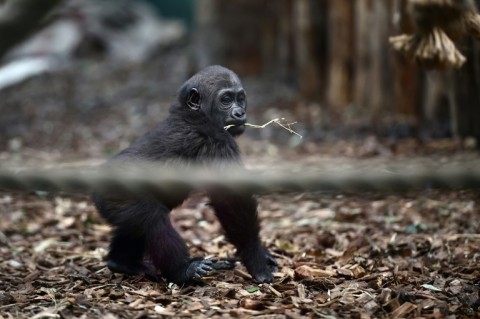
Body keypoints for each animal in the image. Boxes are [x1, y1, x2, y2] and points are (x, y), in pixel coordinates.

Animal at [92, 65, 278, 284]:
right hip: (117, 194)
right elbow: (231, 199)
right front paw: (256, 258)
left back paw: (121, 262)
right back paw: (183, 270)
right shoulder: (216, 139)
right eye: (225, 99)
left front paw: (262, 254)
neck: (190, 112)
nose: (240, 112)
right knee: (152, 219)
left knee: (133, 226)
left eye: (240, 98)